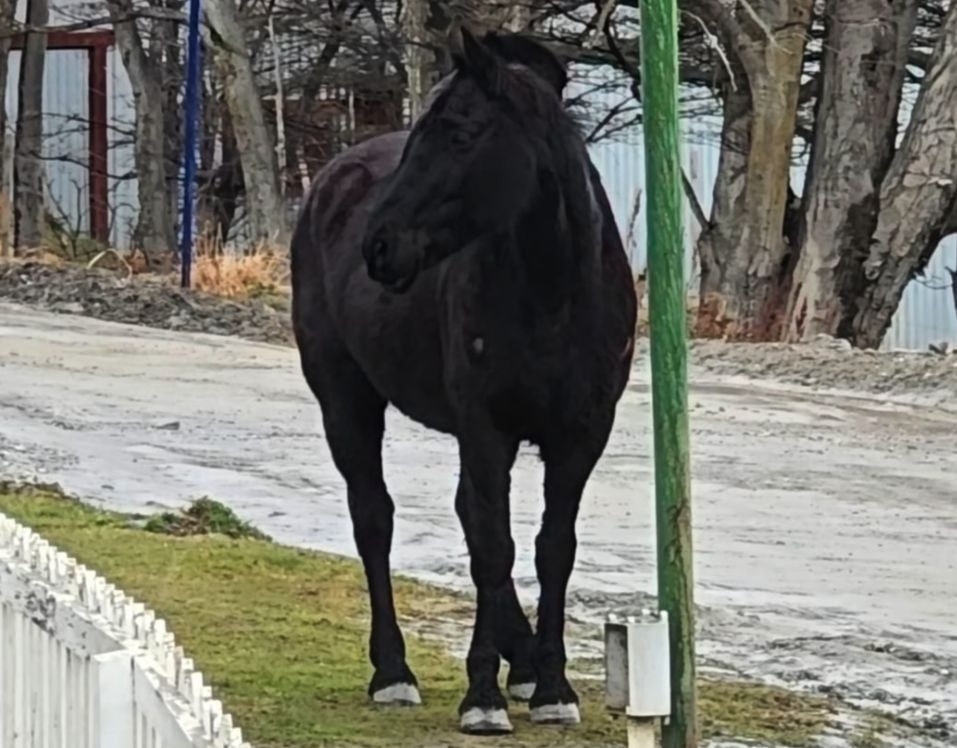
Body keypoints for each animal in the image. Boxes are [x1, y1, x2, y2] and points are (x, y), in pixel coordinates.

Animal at [290, 28, 637, 735]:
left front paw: (552, 685)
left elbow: (552, 548)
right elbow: (494, 549)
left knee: (468, 515)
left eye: (459, 133)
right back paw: (394, 672)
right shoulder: (487, 428)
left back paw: (522, 662)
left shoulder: (580, 437)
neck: (554, 293)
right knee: (375, 517)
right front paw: (483, 696)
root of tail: (331, 181)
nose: (379, 246)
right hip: (345, 399)